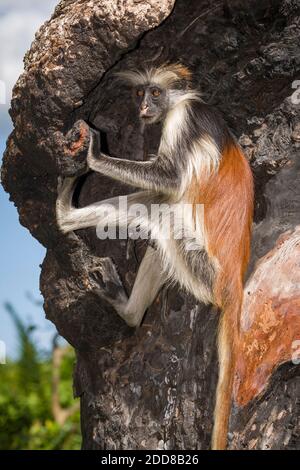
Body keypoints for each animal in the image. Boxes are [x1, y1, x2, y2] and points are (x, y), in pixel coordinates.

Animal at [56, 62, 253, 448]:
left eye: (156, 93)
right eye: (140, 93)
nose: (145, 106)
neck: (179, 101)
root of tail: (233, 281)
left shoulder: (184, 118)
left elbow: (170, 179)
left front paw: (93, 153)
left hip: (204, 271)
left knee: (165, 208)